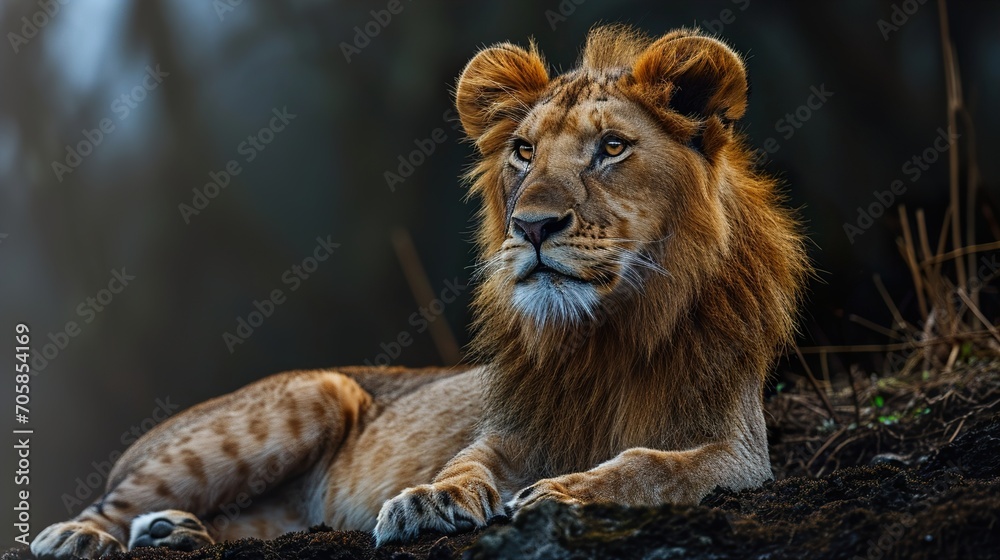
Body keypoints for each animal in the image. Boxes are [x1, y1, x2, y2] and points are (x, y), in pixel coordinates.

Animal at [31, 25, 807, 558]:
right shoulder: (510, 428)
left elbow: (653, 467)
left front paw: (567, 491)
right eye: (523, 151)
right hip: (313, 393)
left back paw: (173, 533)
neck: (607, 330)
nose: (532, 225)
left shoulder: (738, 452)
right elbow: (467, 459)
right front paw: (429, 499)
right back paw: (82, 537)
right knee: (105, 506)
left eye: (611, 148)